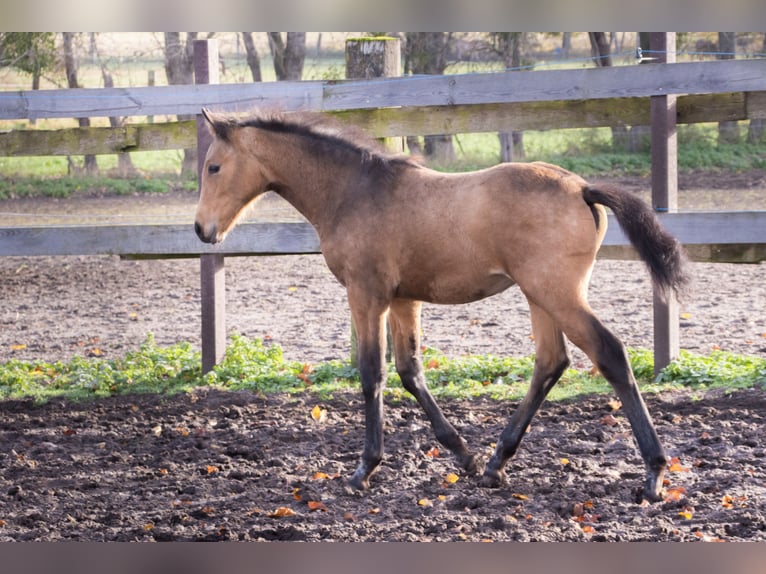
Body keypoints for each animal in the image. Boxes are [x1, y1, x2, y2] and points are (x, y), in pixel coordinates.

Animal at [194, 109, 689, 502]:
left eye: (214, 166)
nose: (202, 229)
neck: (353, 192)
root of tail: (583, 188)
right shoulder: (403, 299)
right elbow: (410, 372)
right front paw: (463, 455)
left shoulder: (366, 294)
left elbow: (371, 373)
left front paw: (363, 469)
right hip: (540, 296)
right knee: (551, 361)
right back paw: (495, 464)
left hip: (556, 293)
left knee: (609, 352)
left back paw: (653, 474)